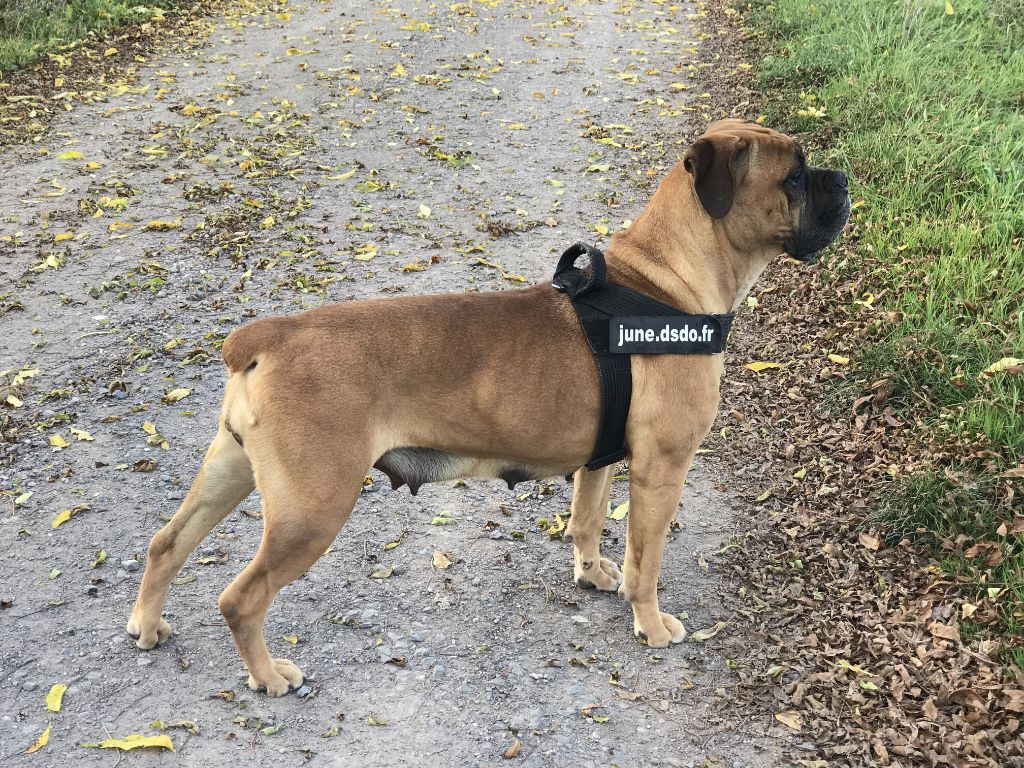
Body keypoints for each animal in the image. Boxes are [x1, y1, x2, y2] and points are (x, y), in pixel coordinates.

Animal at [125, 120, 847, 696]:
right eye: (795, 174)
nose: (842, 180)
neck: (662, 282)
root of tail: (267, 334)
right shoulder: (660, 469)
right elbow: (648, 559)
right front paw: (649, 620)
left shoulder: (602, 461)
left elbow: (587, 521)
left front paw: (592, 572)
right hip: (312, 508)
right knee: (240, 598)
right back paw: (268, 675)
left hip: (231, 472)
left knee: (167, 543)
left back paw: (147, 624)